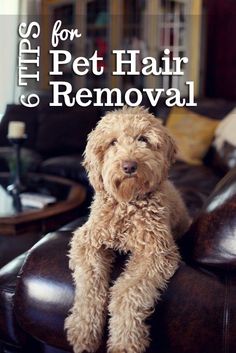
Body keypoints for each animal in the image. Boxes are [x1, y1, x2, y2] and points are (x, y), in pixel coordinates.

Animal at [64, 105, 190, 352]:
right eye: (113, 142)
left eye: (143, 139)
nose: (129, 166)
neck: (128, 203)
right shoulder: (87, 241)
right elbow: (89, 287)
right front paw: (84, 330)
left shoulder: (155, 253)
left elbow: (127, 292)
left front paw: (124, 341)